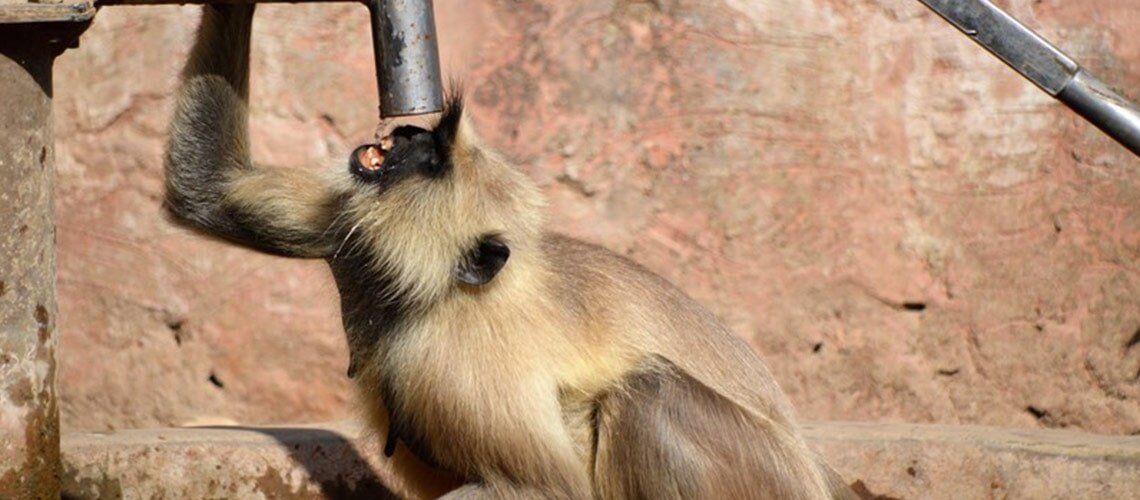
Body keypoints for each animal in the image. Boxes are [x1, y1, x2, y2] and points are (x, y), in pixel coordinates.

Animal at [164, 4, 855, 499]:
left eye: (434, 160)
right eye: (424, 143)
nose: (409, 133)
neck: (432, 293)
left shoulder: (457, 361)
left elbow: (550, 489)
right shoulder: (347, 226)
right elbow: (207, 190)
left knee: (650, 393)